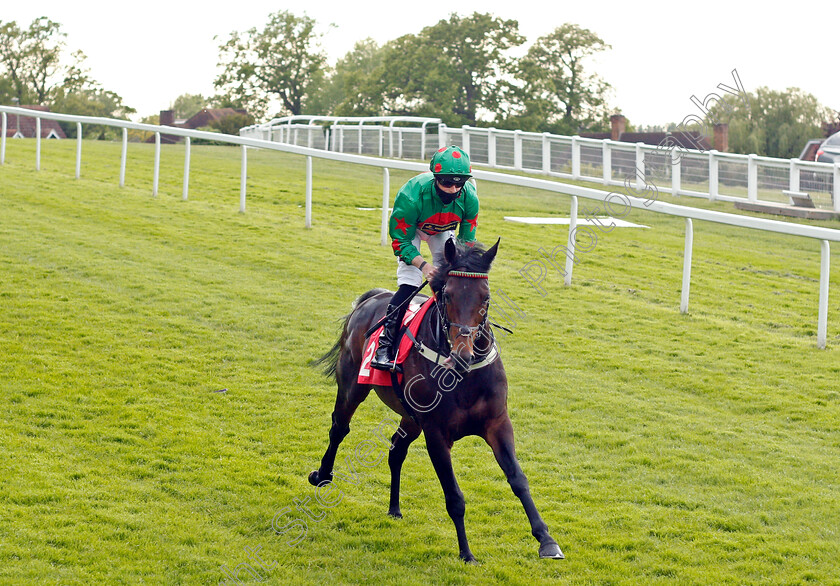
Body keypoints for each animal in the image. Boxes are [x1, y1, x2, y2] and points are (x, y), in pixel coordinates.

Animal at [310, 238, 564, 560]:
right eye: (448, 295)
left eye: (485, 298)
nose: (463, 355)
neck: (464, 378)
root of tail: (373, 298)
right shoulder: (437, 432)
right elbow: (454, 496)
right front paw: (466, 553)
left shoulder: (497, 423)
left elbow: (518, 479)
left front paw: (546, 540)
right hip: (353, 386)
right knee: (339, 427)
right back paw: (323, 475)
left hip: (410, 415)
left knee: (396, 449)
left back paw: (394, 508)